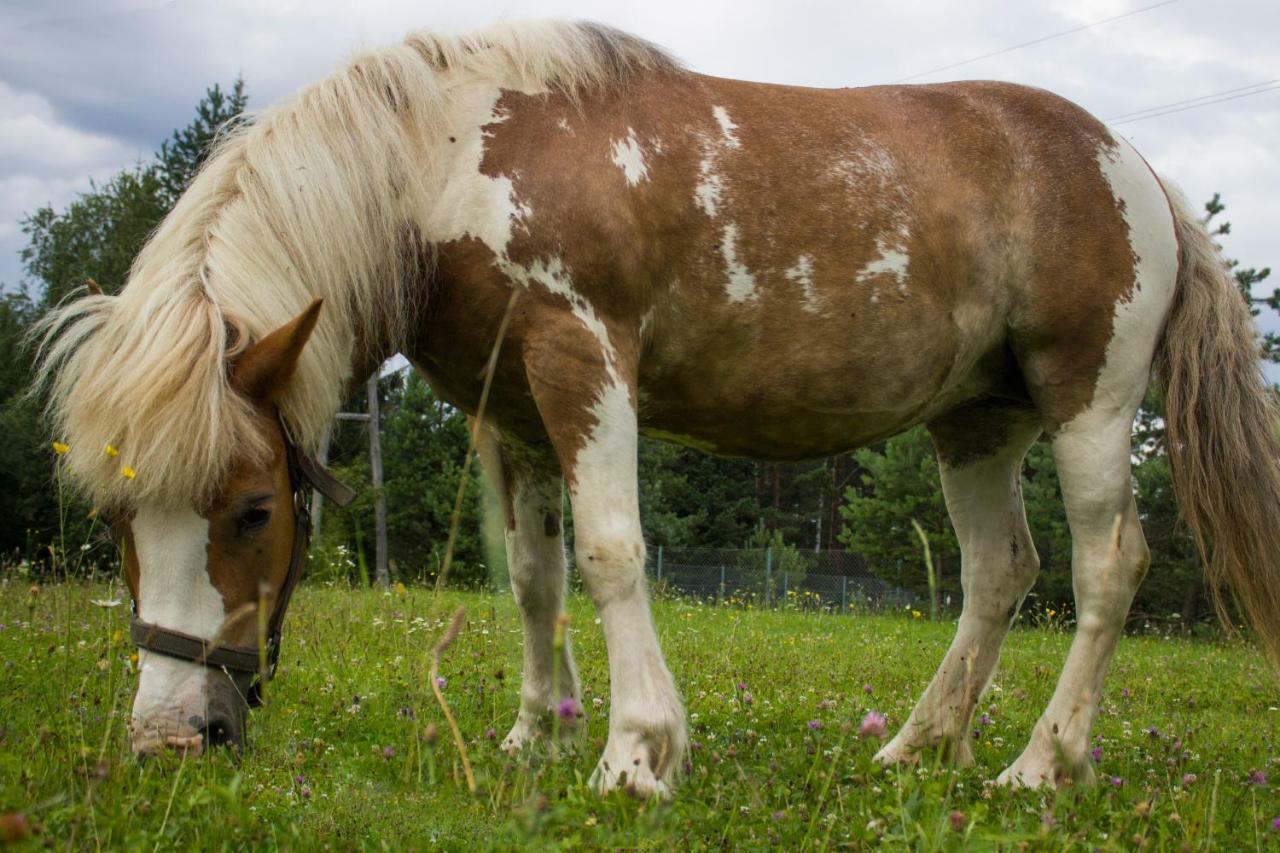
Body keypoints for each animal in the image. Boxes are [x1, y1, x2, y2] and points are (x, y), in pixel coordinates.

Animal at [30, 19, 1280, 788]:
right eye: (113, 519)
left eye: (253, 509)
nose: (171, 736)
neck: (442, 157)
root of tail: (1141, 171)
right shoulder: (507, 411)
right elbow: (531, 576)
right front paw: (534, 734)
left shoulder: (581, 356)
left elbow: (612, 550)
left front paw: (634, 753)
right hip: (974, 424)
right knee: (997, 572)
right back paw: (917, 749)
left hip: (1086, 402)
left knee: (1103, 566)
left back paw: (1039, 764)